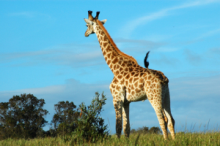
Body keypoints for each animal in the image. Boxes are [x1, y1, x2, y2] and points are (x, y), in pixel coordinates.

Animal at [83, 10, 174, 140]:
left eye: (87, 25)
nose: (85, 33)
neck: (114, 68)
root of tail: (163, 79)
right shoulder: (126, 101)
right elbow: (127, 128)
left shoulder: (116, 98)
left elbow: (118, 126)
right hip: (166, 96)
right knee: (171, 119)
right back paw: (174, 140)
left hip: (154, 96)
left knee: (162, 119)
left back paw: (166, 141)